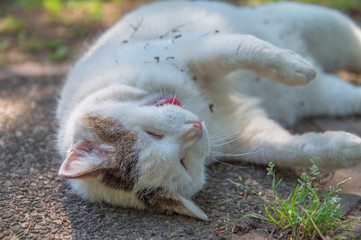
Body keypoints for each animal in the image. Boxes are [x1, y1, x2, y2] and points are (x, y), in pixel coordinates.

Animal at [54, 0, 360, 220]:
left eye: (152, 133)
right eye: (182, 162)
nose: (195, 128)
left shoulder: (192, 48)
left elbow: (246, 50)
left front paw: (296, 69)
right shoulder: (247, 137)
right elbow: (298, 149)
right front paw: (350, 149)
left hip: (324, 25)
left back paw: (305, 65)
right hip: (328, 95)